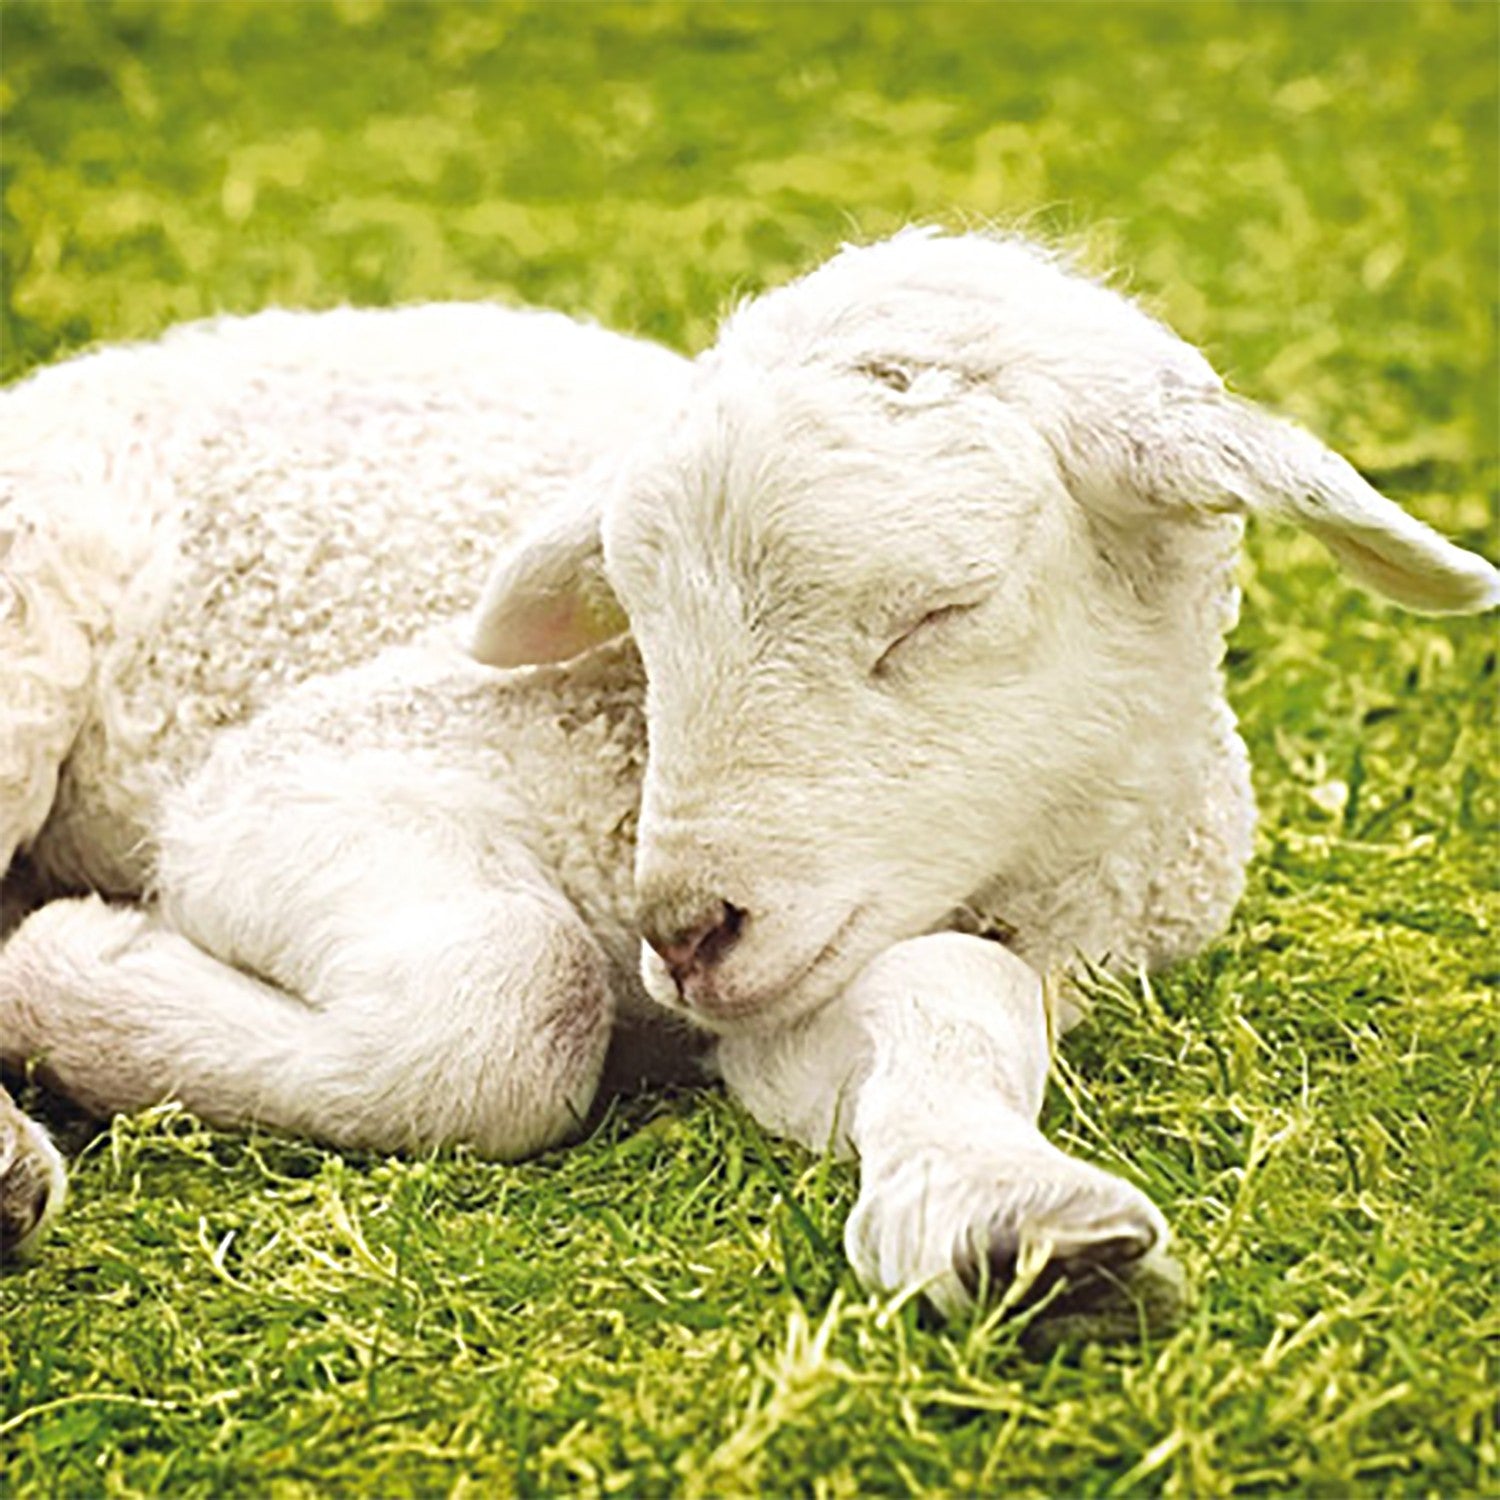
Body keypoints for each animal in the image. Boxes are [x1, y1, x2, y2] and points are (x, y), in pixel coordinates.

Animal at [2, 230, 1495, 1320]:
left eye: (945, 608)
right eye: (639, 616)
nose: (683, 928)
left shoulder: (819, 979)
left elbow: (950, 997)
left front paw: (1011, 1227)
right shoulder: (298, 773)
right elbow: (512, 1004)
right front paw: (74, 972)